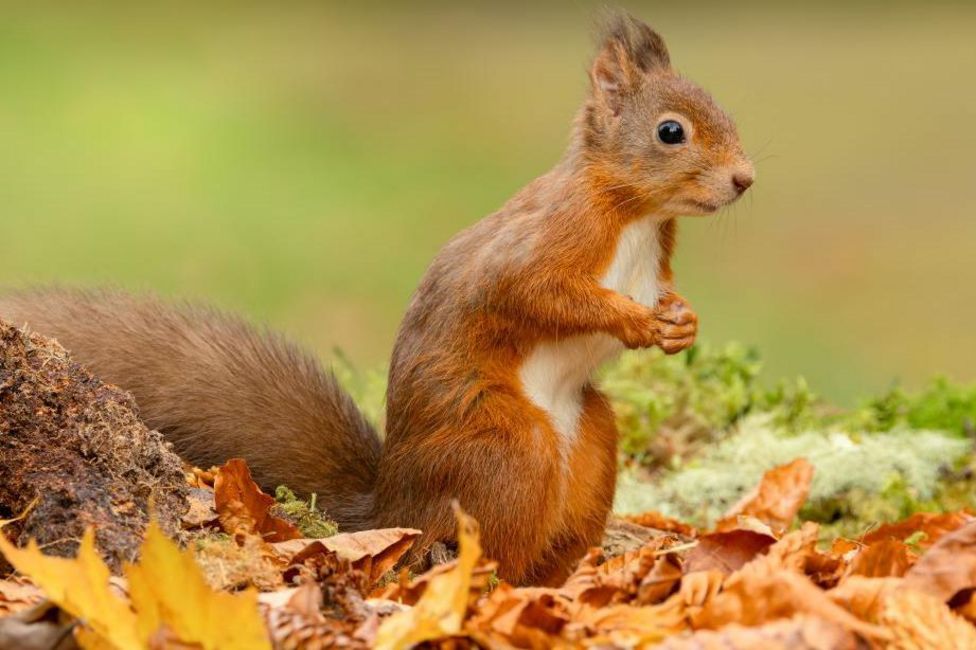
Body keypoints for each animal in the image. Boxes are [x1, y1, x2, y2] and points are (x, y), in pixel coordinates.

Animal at [0, 13, 756, 584]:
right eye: (670, 131)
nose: (745, 180)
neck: (635, 214)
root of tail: (396, 509)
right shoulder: (546, 242)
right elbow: (534, 292)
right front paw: (632, 320)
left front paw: (681, 322)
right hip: (509, 449)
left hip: (590, 438)